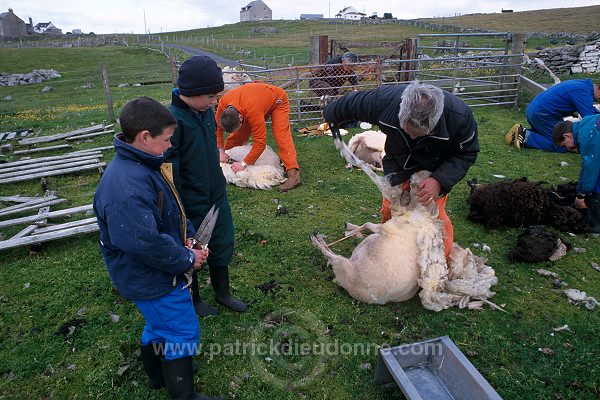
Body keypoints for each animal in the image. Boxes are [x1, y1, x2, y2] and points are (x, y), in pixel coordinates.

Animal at [312, 130, 500, 310]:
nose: (415, 172)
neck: (422, 211)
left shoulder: (388, 223)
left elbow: (368, 221)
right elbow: (367, 224)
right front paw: (351, 229)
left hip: (344, 267)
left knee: (330, 255)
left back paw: (317, 240)